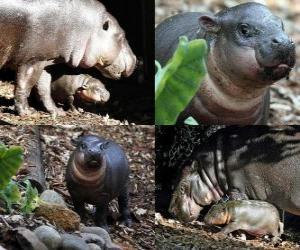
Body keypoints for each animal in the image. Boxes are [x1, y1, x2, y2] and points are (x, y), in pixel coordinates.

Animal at [0, 0, 136, 115]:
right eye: (121, 37)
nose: (136, 59)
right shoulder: (32, 60)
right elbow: (25, 84)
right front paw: (27, 112)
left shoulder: (45, 61)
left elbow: (44, 88)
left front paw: (57, 112)